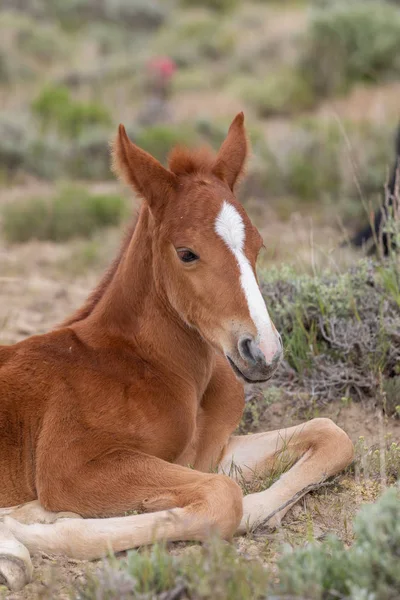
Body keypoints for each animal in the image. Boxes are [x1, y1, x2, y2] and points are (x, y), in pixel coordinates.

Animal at [0, 112, 354, 592]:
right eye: (187, 253)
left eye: (258, 245)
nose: (262, 351)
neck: (157, 368)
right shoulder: (70, 468)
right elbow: (225, 497)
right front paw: (31, 525)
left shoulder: (210, 453)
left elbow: (331, 434)